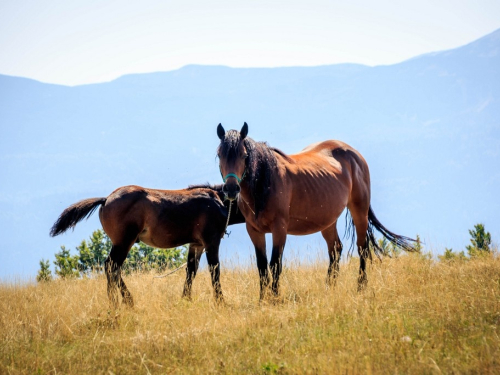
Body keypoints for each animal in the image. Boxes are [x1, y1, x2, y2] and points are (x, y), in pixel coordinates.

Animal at [50, 184, 244, 306]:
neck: (219, 201)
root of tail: (106, 199)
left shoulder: (196, 245)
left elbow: (191, 271)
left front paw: (185, 300)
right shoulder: (211, 241)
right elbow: (214, 271)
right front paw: (221, 301)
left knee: (112, 268)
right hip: (123, 242)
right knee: (112, 266)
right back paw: (122, 302)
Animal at [217, 123, 416, 300]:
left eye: (244, 155)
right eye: (219, 155)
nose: (231, 189)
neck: (266, 182)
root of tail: (355, 155)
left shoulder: (279, 229)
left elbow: (275, 264)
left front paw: (274, 298)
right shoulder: (254, 231)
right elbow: (262, 266)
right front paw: (262, 299)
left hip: (359, 211)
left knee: (362, 248)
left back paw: (361, 287)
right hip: (328, 220)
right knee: (335, 249)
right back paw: (329, 288)